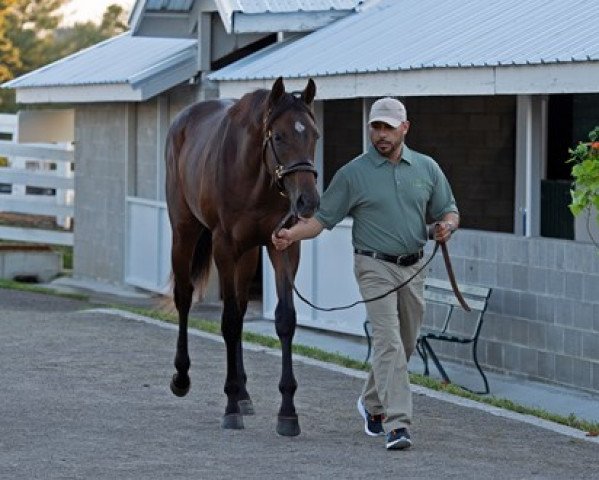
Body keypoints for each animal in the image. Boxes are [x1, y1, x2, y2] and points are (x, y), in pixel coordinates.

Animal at [164, 77, 322, 436]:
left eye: (314, 135)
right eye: (278, 136)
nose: (307, 201)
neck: (255, 177)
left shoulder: (283, 245)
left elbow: (284, 319)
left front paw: (287, 412)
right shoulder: (223, 246)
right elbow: (230, 322)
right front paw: (230, 404)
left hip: (248, 254)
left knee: (239, 301)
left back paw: (245, 392)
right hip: (184, 230)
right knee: (184, 297)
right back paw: (183, 377)